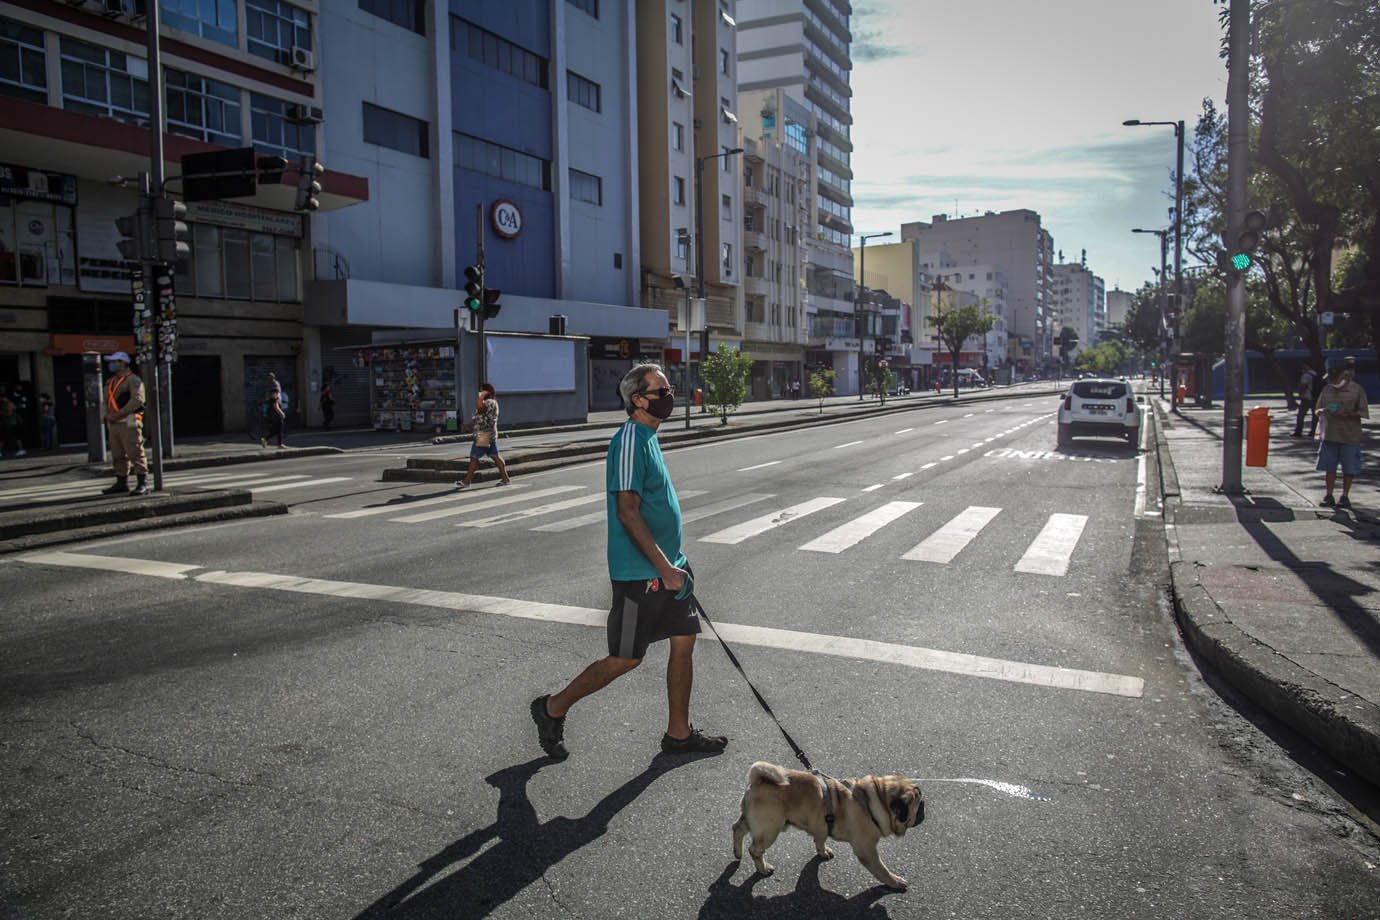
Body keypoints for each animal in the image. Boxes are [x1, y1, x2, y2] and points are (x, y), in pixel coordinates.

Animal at [734, 761, 927, 893]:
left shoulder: (820, 826)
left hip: (752, 821)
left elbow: (819, 840)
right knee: (755, 850)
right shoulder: (867, 850)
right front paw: (895, 882)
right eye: (919, 806)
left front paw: (823, 852)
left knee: (737, 828)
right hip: (769, 829)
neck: (875, 800)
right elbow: (882, 870)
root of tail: (759, 781)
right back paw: (762, 868)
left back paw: (738, 852)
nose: (924, 813)